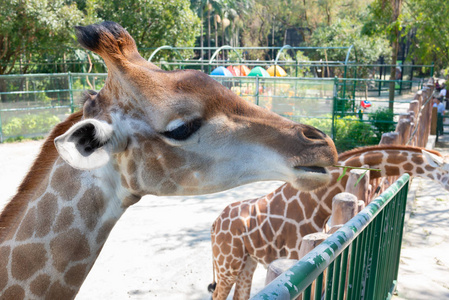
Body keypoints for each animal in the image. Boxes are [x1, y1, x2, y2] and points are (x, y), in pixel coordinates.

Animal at [207, 145, 448, 298]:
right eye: (447, 170)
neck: (316, 202)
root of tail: (214, 224)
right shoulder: (298, 260)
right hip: (227, 263)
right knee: (217, 295)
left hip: (246, 263)